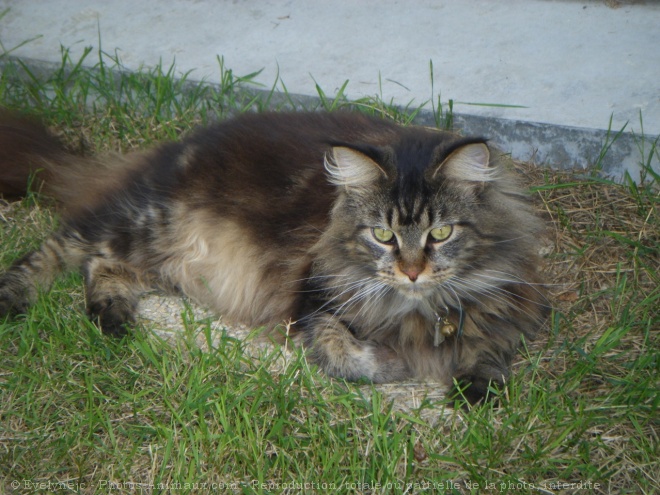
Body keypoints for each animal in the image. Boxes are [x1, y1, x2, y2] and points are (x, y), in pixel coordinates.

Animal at [0, 108, 548, 404]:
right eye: (382, 235)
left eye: (441, 232)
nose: (412, 272)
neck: (418, 308)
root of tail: (165, 151)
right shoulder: (313, 304)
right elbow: (348, 358)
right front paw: (396, 364)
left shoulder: (506, 311)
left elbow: (491, 354)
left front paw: (475, 386)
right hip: (146, 224)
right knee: (63, 246)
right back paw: (15, 299)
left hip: (174, 264)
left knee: (102, 266)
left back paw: (113, 317)